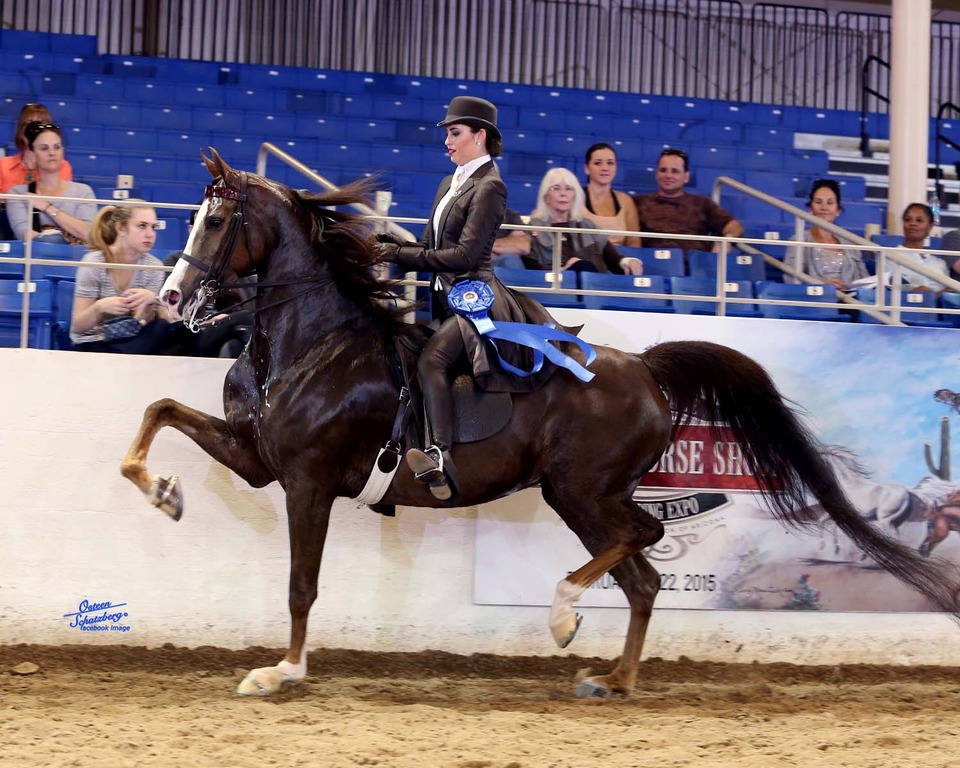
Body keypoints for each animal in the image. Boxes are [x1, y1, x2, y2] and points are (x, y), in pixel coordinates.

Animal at [121, 149, 960, 698]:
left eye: (217, 219)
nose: (171, 300)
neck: (311, 342)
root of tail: (646, 367)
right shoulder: (258, 457)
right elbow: (158, 411)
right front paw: (163, 491)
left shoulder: (307, 481)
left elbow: (301, 585)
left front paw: (282, 670)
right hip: (580, 496)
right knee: (643, 577)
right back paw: (613, 677)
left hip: (582, 489)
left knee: (644, 541)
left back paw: (563, 618)